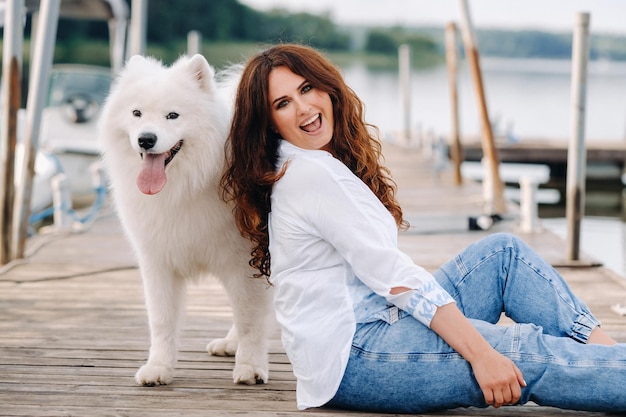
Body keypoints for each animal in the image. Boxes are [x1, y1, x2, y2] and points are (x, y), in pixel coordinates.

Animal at [99, 53, 270, 386]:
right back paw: (228, 344)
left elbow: (250, 320)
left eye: (173, 115)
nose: (146, 139)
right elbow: (162, 321)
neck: (186, 186)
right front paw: (159, 368)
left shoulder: (245, 263)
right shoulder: (158, 262)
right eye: (137, 113)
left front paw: (251, 368)